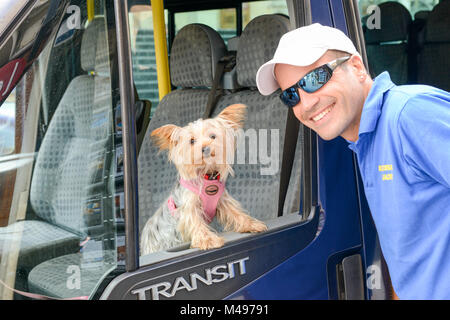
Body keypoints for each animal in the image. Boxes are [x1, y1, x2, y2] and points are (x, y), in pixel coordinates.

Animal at [141, 104, 268, 254]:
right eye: (192, 141)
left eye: (213, 136)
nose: (205, 148)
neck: (207, 175)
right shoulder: (189, 207)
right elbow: (195, 223)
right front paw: (208, 240)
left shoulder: (222, 201)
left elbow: (235, 213)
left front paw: (251, 224)